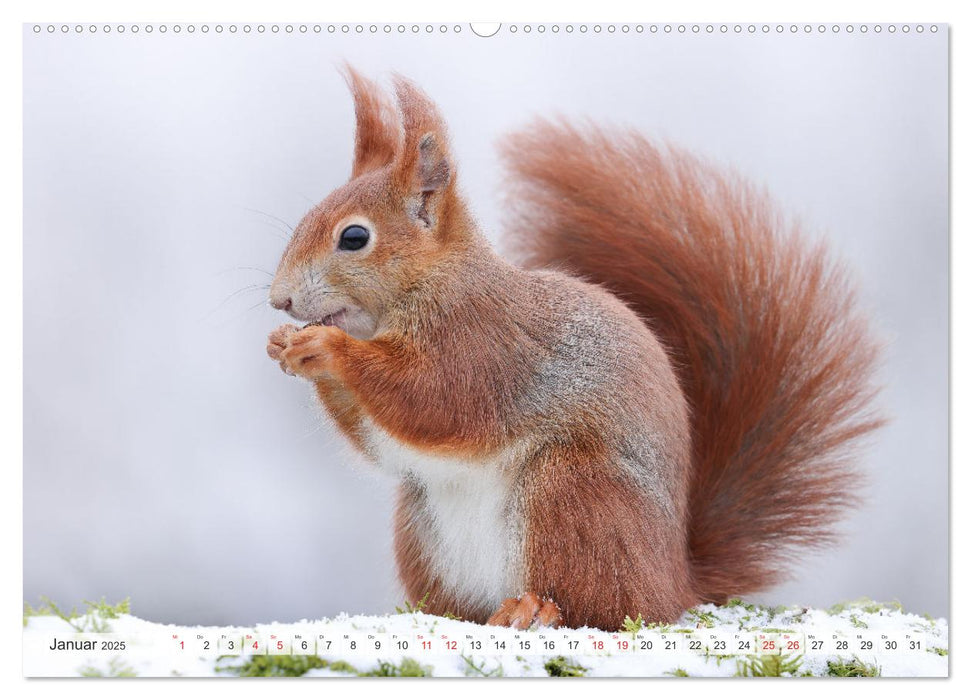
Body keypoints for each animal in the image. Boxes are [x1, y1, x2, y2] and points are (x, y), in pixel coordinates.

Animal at [264, 69, 880, 628]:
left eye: (354, 237)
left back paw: (536, 609)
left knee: (603, 605)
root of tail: (676, 583)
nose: (279, 300)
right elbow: (386, 445)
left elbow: (435, 398)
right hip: (420, 523)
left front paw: (326, 347)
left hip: (572, 492)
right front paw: (285, 346)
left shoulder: (484, 343)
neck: (432, 285)